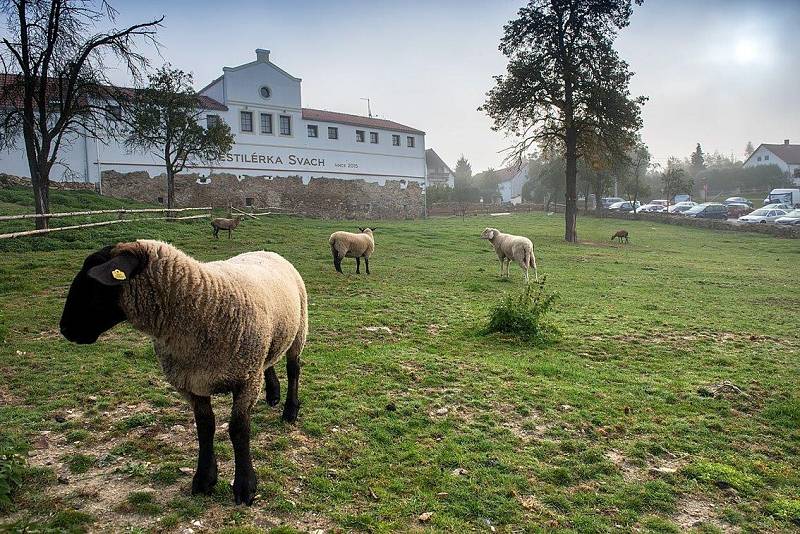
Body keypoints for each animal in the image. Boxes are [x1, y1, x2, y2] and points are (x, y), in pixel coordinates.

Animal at [58, 241, 306, 508]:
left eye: (95, 283)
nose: (65, 328)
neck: (206, 304)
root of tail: (265, 251)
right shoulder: (191, 384)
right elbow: (205, 428)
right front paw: (204, 479)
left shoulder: (247, 379)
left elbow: (239, 430)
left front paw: (245, 486)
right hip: (268, 337)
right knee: (269, 360)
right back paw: (272, 394)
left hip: (299, 329)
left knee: (293, 369)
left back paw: (290, 410)